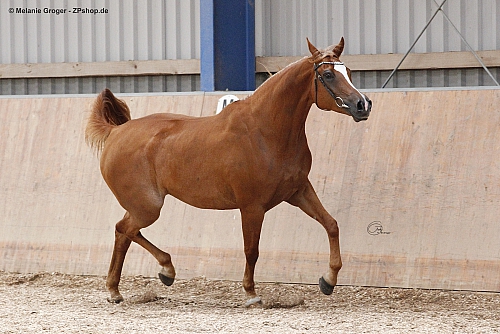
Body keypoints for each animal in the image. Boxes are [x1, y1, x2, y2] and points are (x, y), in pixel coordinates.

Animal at [86, 37, 372, 306]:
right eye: (328, 75)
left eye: (348, 71)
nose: (363, 105)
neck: (266, 131)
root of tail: (116, 132)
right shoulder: (252, 206)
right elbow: (252, 250)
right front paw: (251, 294)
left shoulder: (298, 191)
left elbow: (331, 225)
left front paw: (328, 280)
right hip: (147, 207)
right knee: (124, 229)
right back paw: (149, 276)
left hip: (141, 206)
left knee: (124, 232)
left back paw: (134, 283)